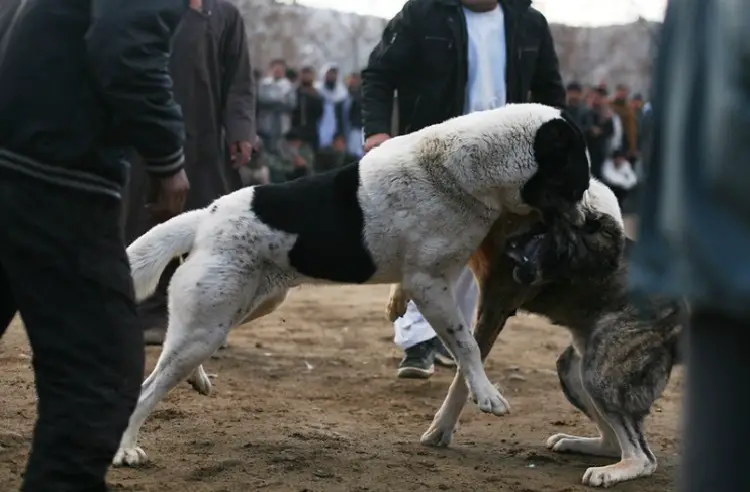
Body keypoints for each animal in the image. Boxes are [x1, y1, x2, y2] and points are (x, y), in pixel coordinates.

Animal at [111, 104, 592, 466]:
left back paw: (196, 380)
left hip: (241, 308)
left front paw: (396, 306)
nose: (588, 222)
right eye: (576, 181)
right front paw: (488, 396)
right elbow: (466, 344)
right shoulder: (430, 282)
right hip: (213, 317)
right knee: (148, 388)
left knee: (174, 356)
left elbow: (435, 322)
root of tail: (204, 219)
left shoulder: (431, 277)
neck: (461, 172)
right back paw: (126, 450)